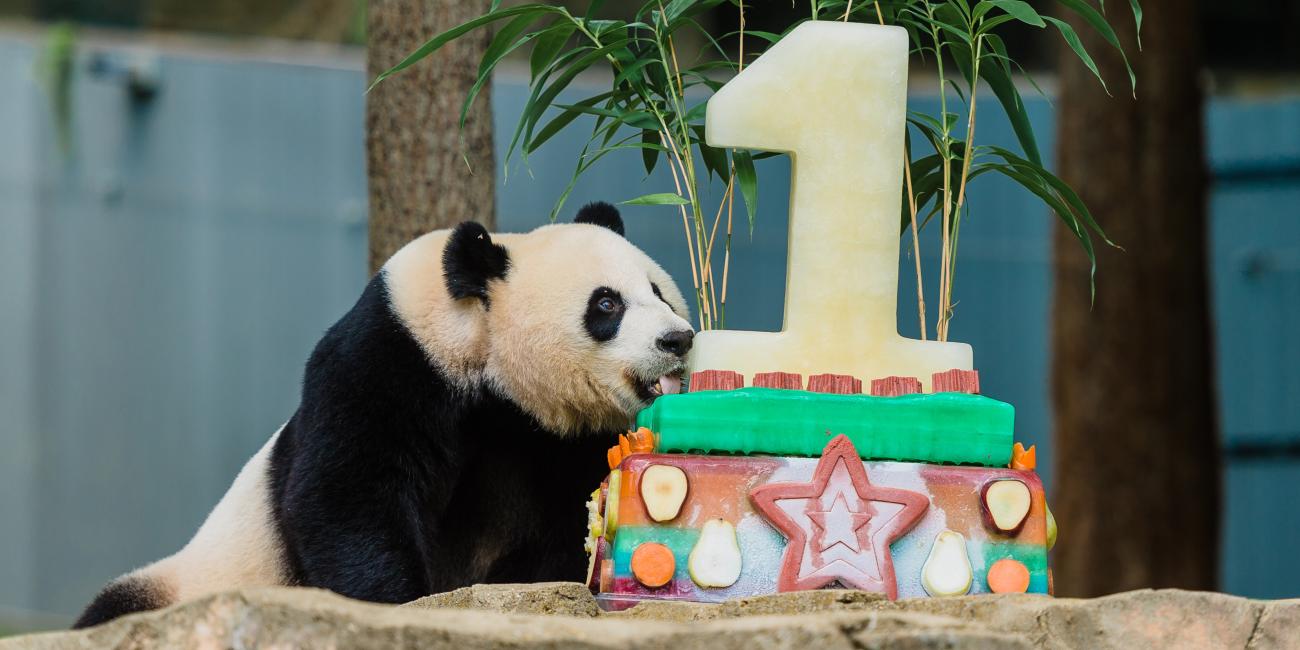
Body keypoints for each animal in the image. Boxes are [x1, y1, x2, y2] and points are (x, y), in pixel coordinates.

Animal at [76, 204, 696, 629]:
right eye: (607, 304)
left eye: (659, 291)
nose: (678, 339)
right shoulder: (390, 360)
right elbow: (346, 492)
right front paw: (397, 602)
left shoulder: (553, 439)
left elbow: (565, 524)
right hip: (191, 578)